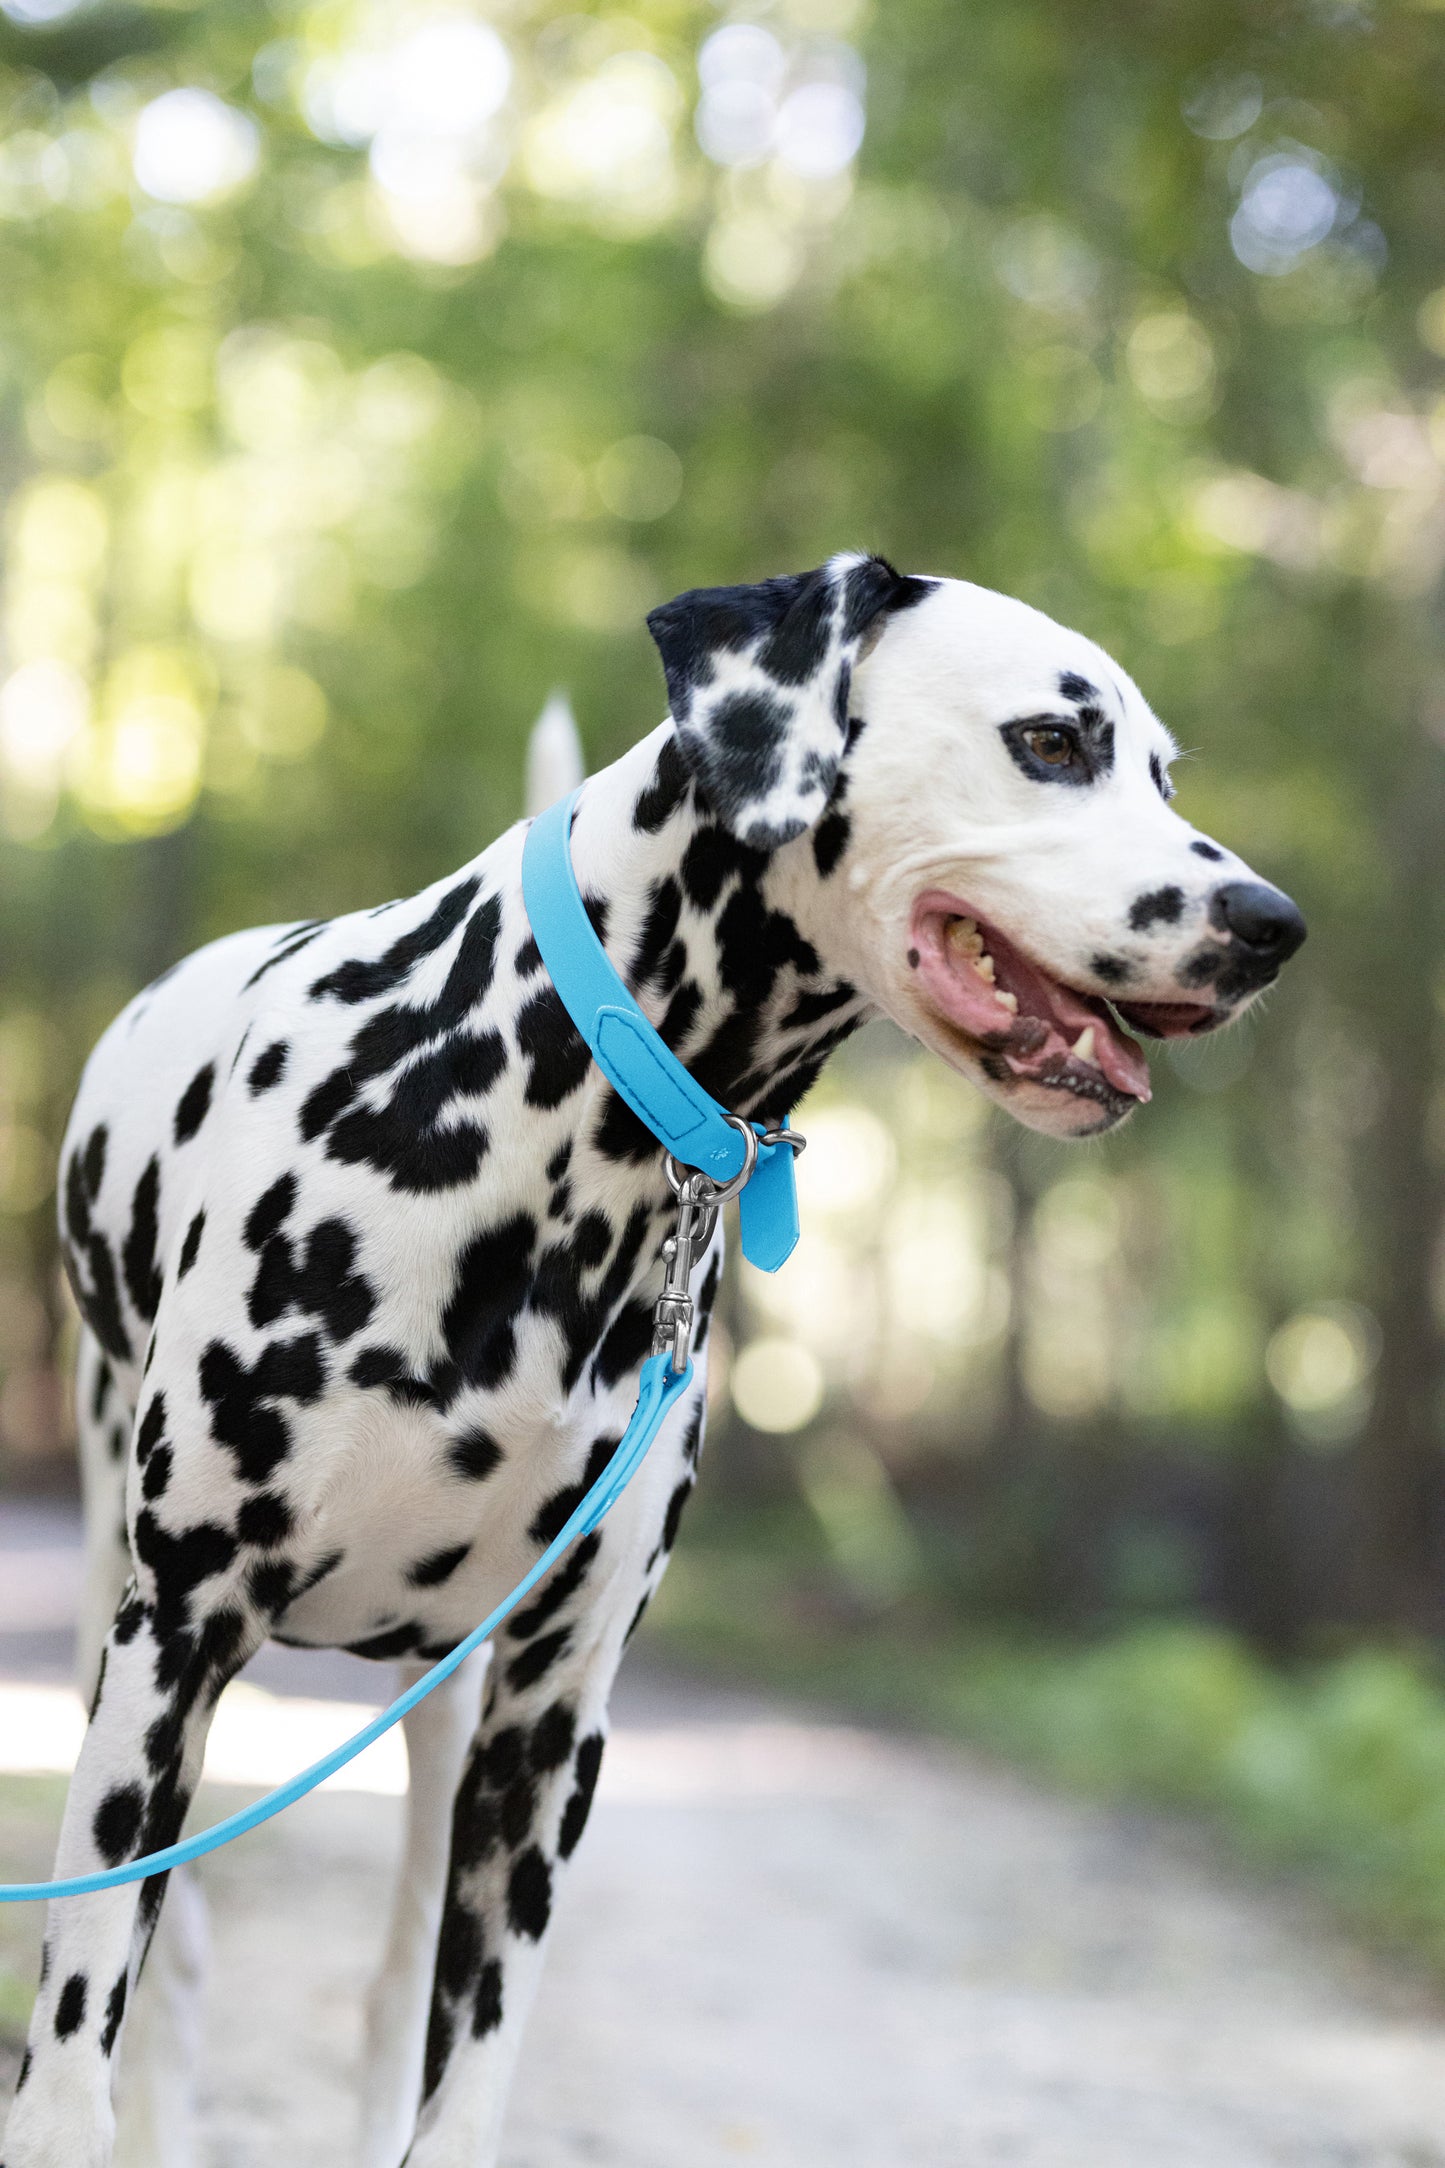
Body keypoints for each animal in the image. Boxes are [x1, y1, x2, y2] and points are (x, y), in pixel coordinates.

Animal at [2, 555, 1308, 2168]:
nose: (1271, 922)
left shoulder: (550, 1720)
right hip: (123, 1632)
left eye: (1163, 770)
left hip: (444, 1711)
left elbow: (463, 2083)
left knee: (386, 2001)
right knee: (169, 1987)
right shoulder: (178, 1642)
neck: (545, 1129)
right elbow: (75, 2055)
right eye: (1053, 743)